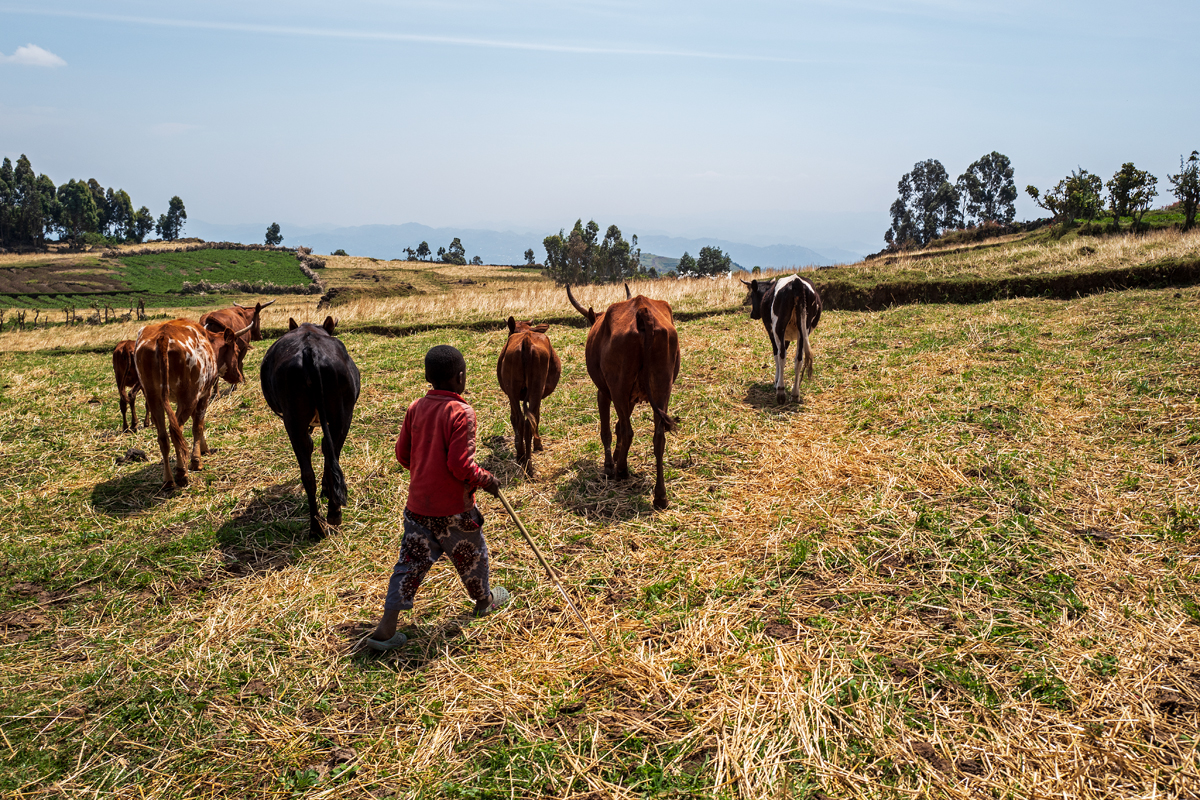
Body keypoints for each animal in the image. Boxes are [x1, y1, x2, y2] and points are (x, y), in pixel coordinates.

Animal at [134, 319, 250, 488]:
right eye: (236, 350)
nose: (239, 376)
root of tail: (163, 336)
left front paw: (204, 448)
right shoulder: (203, 395)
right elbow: (198, 426)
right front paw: (196, 461)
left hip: (153, 397)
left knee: (163, 436)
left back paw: (168, 480)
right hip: (187, 397)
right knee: (176, 431)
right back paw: (182, 473)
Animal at [259, 317, 361, 539]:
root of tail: (310, 349)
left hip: (297, 420)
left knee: (308, 472)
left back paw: (317, 526)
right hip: (341, 415)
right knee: (328, 459)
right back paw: (331, 515)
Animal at [496, 317, 562, 473]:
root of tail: (526, 339)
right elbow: (536, 416)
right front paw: (538, 445)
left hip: (514, 389)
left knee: (520, 419)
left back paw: (522, 458)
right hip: (535, 388)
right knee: (526, 420)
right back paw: (527, 462)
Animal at [566, 284, 681, 510]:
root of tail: (642, 310)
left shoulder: (604, 393)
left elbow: (609, 431)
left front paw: (610, 465)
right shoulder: (631, 399)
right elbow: (619, 426)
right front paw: (618, 456)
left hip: (618, 389)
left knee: (628, 432)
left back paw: (621, 471)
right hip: (662, 388)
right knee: (658, 437)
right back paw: (660, 496)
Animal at [742, 275, 822, 404]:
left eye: (752, 295)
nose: (753, 314)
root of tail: (796, 281)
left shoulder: (772, 332)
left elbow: (776, 355)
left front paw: (776, 381)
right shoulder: (787, 338)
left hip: (779, 328)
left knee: (782, 355)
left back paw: (780, 391)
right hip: (803, 330)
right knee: (798, 359)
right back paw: (795, 394)